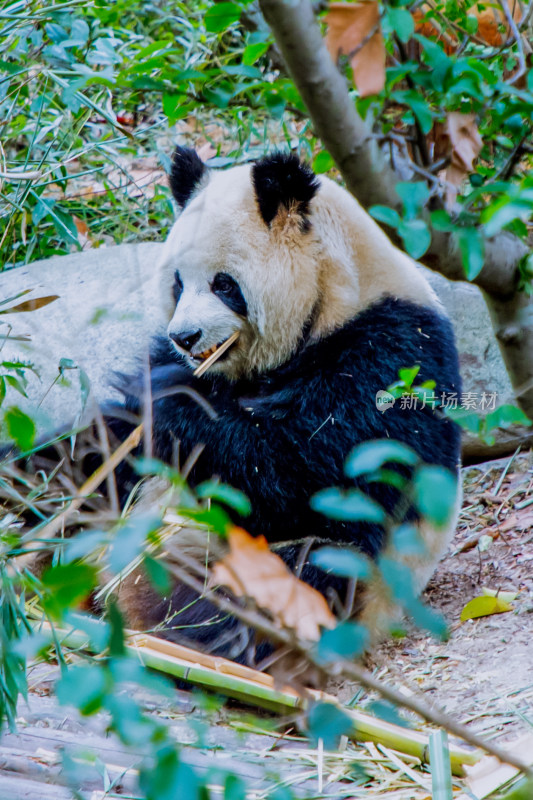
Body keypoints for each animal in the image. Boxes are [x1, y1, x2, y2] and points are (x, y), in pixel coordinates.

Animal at [105, 147, 462, 664]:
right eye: (177, 284)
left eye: (223, 284)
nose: (185, 337)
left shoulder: (388, 355)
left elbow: (304, 478)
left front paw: (162, 397)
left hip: (361, 578)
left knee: (301, 575)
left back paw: (185, 618)